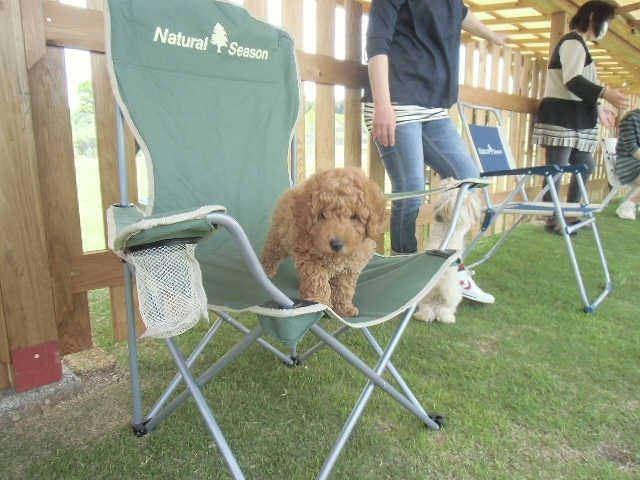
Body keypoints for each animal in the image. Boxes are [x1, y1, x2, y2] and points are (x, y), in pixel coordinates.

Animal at [416, 179, 480, 322]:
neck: (448, 222)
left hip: (426, 296)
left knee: (427, 307)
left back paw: (422, 316)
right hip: (454, 294)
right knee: (444, 309)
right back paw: (448, 319)